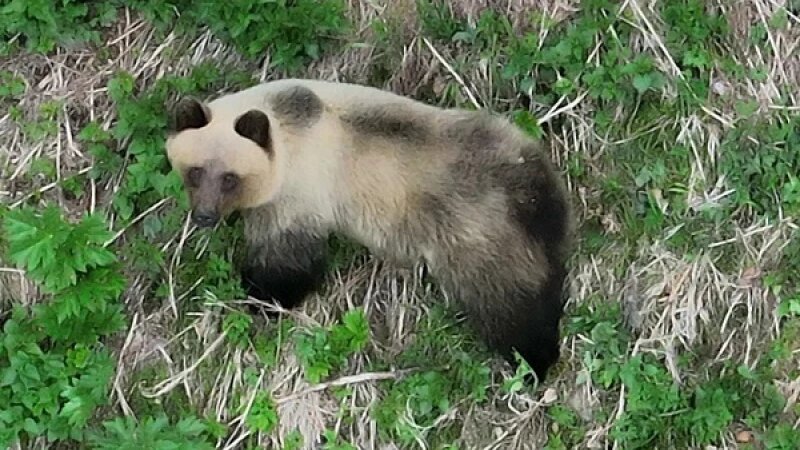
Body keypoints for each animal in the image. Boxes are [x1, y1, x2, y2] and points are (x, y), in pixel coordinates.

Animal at [164, 78, 573, 382]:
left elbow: (288, 260)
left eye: (230, 177)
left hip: (475, 234)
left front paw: (259, 294)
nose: (204, 216)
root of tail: (532, 182)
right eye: (195, 171)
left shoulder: (299, 195)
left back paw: (533, 361)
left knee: (508, 300)